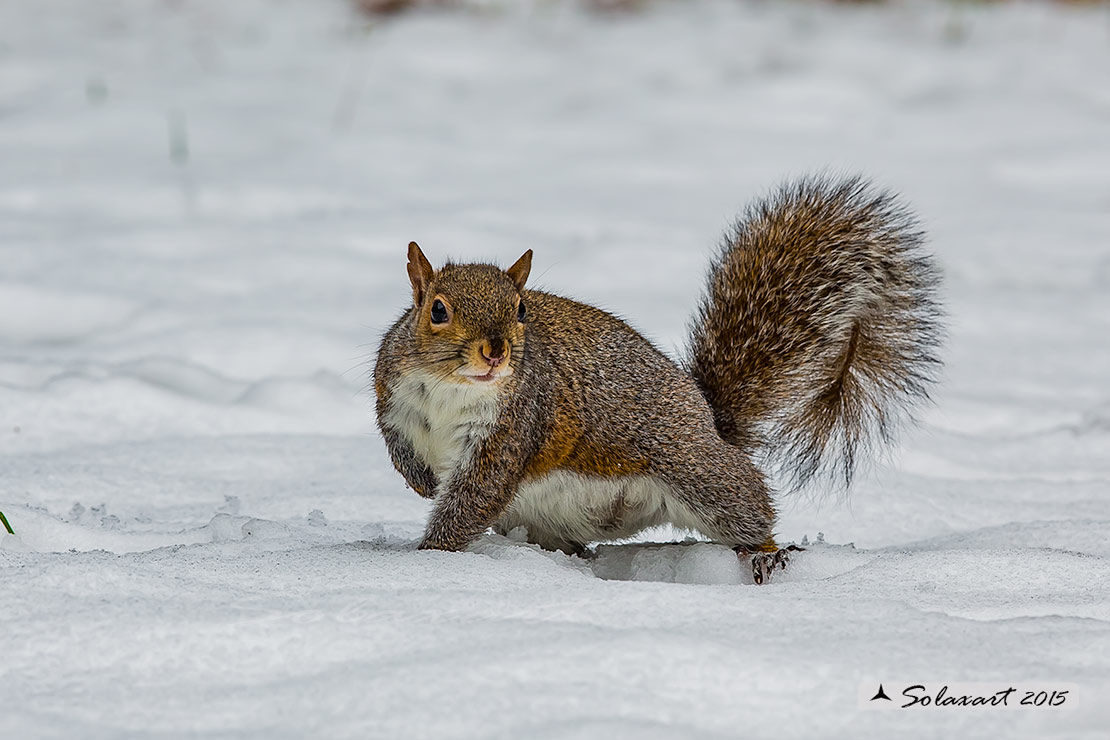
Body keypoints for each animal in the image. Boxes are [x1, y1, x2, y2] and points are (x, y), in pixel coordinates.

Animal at [375, 175, 945, 585]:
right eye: (437, 309)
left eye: (520, 310)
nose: (496, 352)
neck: (453, 389)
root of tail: (709, 420)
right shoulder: (394, 398)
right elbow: (398, 446)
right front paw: (421, 482)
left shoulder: (513, 427)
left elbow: (474, 493)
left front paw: (429, 556)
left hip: (702, 474)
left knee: (749, 505)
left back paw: (766, 554)